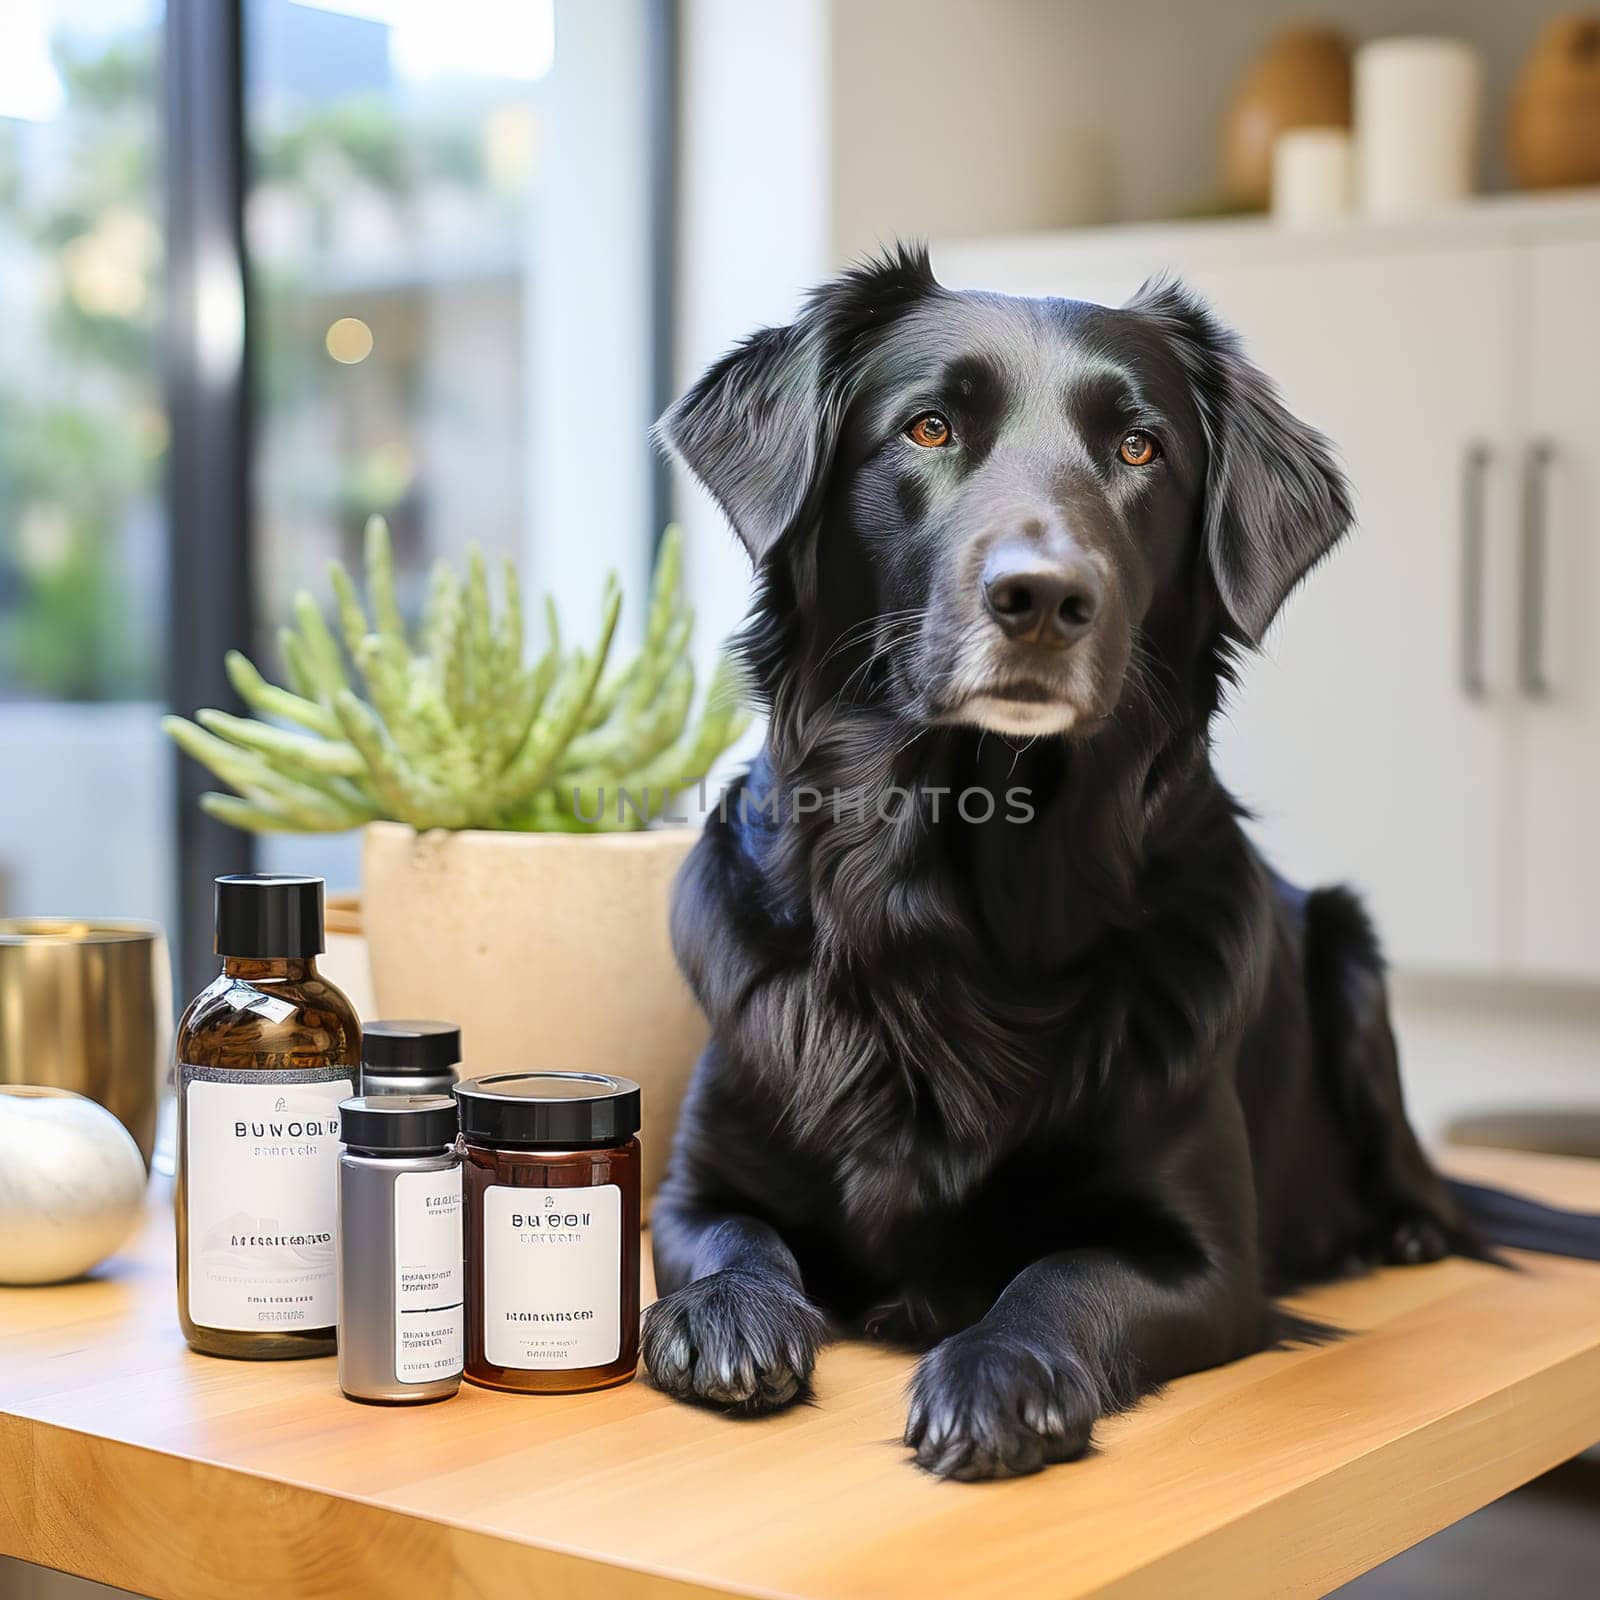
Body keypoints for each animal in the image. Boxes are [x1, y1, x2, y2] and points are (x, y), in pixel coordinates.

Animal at [640, 243, 1472, 1478]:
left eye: (1140, 449)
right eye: (930, 427)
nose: (1042, 597)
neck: (956, 906)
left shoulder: (1204, 1260)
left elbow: (1062, 1274)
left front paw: (998, 1371)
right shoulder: (694, 1182)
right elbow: (729, 1238)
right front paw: (728, 1316)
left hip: (1347, 947)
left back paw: (1411, 1224)